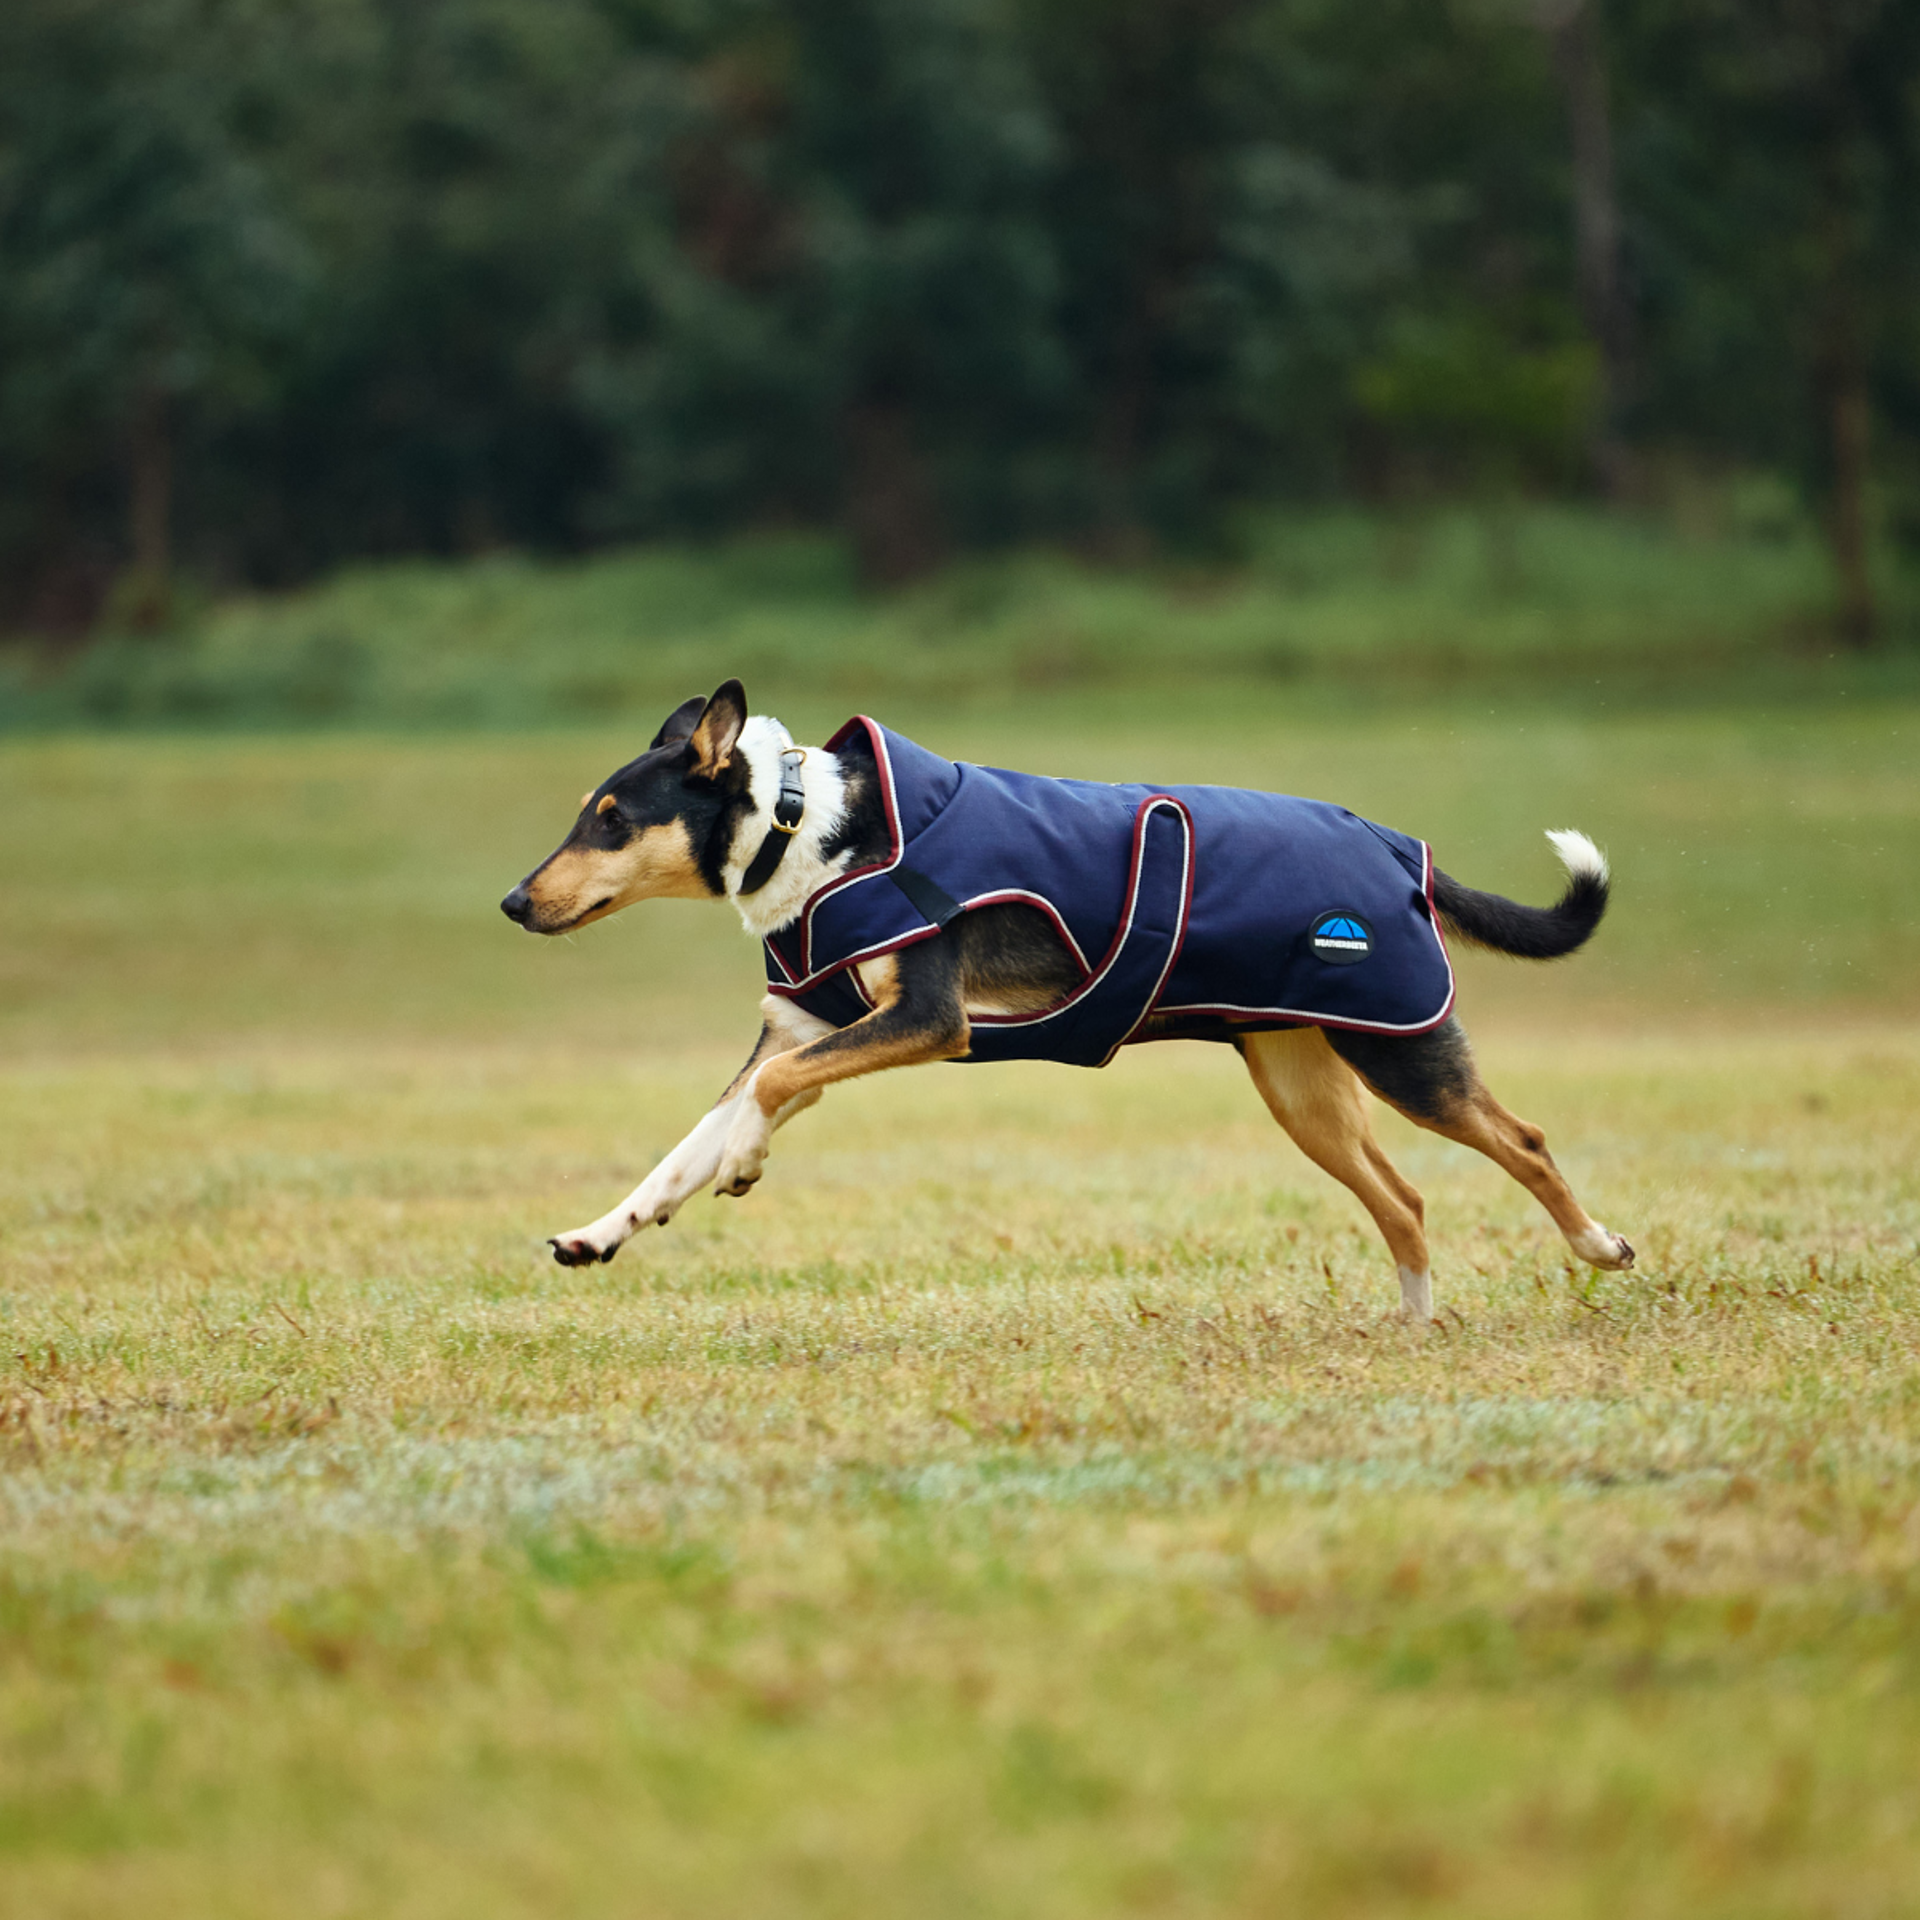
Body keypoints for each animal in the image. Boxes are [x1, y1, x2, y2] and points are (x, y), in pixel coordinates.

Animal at [501, 680, 1634, 1317]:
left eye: (612, 819)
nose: (513, 901)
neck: (806, 830)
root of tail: (1397, 845)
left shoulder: (925, 1021)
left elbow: (762, 1104)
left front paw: (744, 1164)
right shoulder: (810, 1029)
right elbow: (686, 1145)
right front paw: (605, 1230)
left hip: (1402, 1050)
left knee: (1524, 1141)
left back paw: (1598, 1248)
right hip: (1303, 1087)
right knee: (1404, 1201)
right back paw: (1412, 1330)